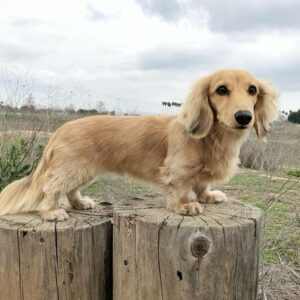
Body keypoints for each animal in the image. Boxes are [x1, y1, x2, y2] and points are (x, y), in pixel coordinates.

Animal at [0, 69, 278, 220]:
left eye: (252, 90)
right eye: (221, 90)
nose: (244, 117)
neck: (214, 138)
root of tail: (60, 129)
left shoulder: (200, 174)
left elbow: (201, 185)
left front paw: (208, 197)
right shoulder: (178, 171)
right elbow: (180, 190)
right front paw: (184, 206)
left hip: (82, 171)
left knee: (70, 191)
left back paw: (80, 204)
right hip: (72, 169)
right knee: (51, 190)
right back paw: (50, 212)